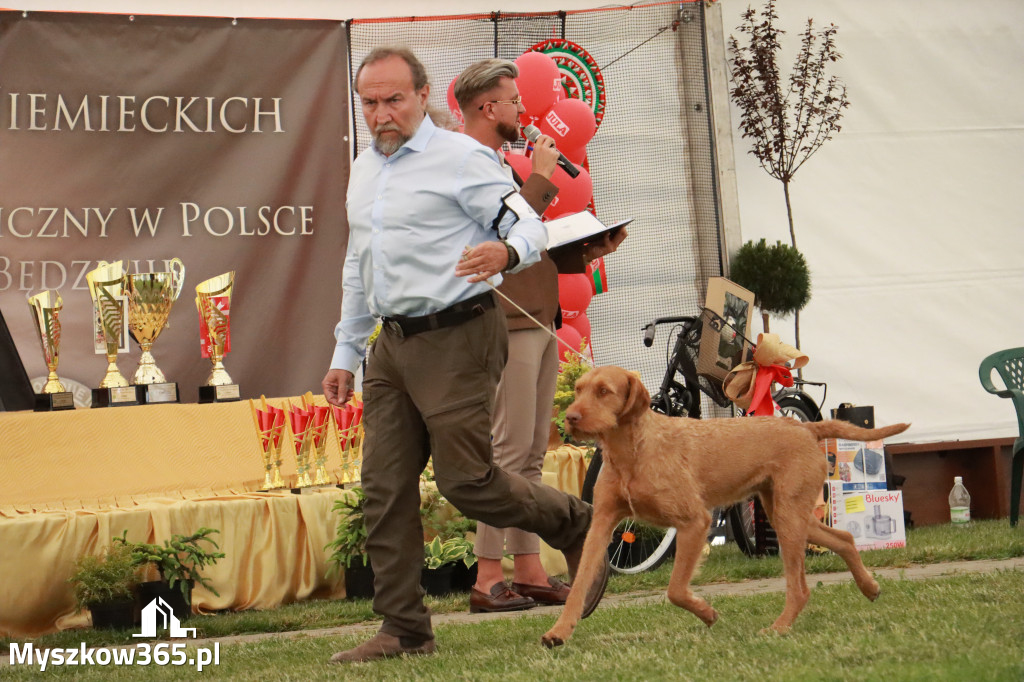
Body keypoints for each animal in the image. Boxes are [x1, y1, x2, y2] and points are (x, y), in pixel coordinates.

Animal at [544, 364, 913, 647]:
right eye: (578, 389)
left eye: (604, 391)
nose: (571, 417)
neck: (632, 452)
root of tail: (806, 427)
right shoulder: (602, 525)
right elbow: (579, 586)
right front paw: (559, 631)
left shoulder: (695, 521)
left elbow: (676, 589)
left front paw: (707, 613)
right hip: (787, 514)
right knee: (845, 539)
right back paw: (869, 587)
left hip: (789, 518)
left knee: (800, 588)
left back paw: (779, 627)